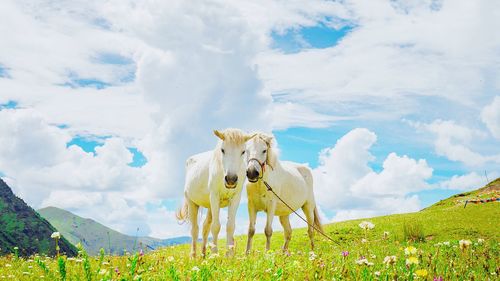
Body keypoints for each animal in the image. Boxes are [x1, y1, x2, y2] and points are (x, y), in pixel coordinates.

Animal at [176, 128, 254, 258]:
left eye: (243, 151)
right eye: (222, 150)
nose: (231, 179)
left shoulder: (235, 198)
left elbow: (230, 226)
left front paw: (229, 255)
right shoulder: (215, 196)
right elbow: (216, 226)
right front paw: (214, 253)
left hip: (210, 206)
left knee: (205, 227)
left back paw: (203, 255)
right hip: (192, 202)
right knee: (195, 230)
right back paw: (193, 256)